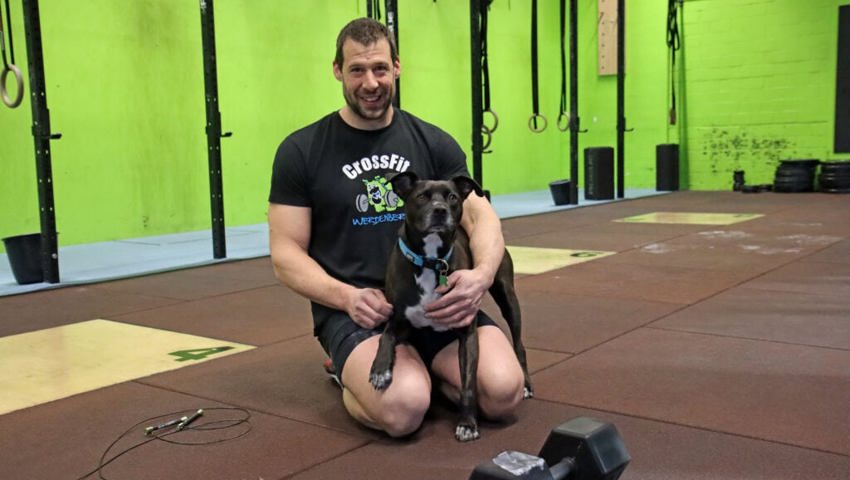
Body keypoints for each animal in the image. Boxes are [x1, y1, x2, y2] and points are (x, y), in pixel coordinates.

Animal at [370, 172, 532, 442]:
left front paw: (467, 424)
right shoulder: (400, 321)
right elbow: (385, 337)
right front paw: (380, 370)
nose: (439, 210)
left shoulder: (467, 333)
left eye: (453, 197)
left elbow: (468, 384)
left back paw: (527, 385)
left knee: (519, 345)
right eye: (422, 196)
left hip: (507, 296)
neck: (430, 260)